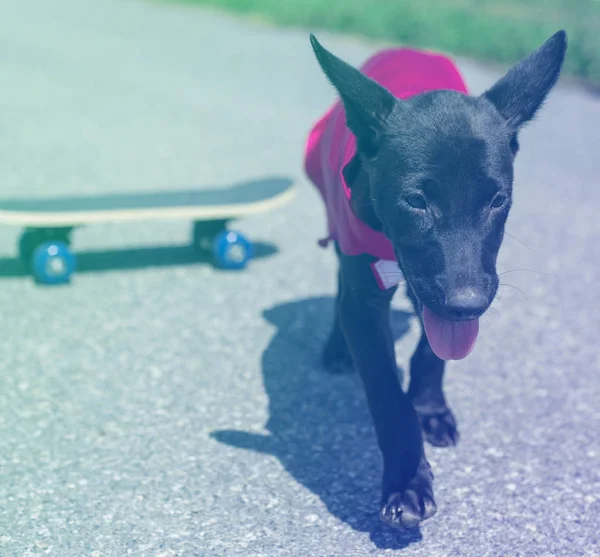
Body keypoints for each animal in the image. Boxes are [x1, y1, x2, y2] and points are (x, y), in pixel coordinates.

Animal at [304, 32, 568, 528]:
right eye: (415, 201)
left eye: (497, 200)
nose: (468, 304)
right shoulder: (369, 290)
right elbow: (388, 394)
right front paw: (407, 482)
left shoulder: (454, 286)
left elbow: (433, 349)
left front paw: (429, 407)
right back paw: (335, 348)